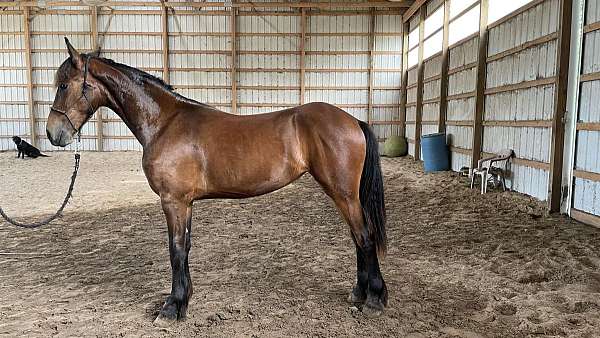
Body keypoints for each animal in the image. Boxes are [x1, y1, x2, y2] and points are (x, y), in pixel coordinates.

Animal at [44, 39, 386, 324]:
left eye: (64, 85)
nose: (53, 133)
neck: (164, 122)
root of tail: (352, 120)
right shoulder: (186, 203)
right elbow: (185, 247)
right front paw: (184, 300)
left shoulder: (173, 201)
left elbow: (175, 250)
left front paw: (171, 308)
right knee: (358, 238)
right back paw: (360, 294)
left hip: (343, 193)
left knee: (364, 236)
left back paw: (374, 299)